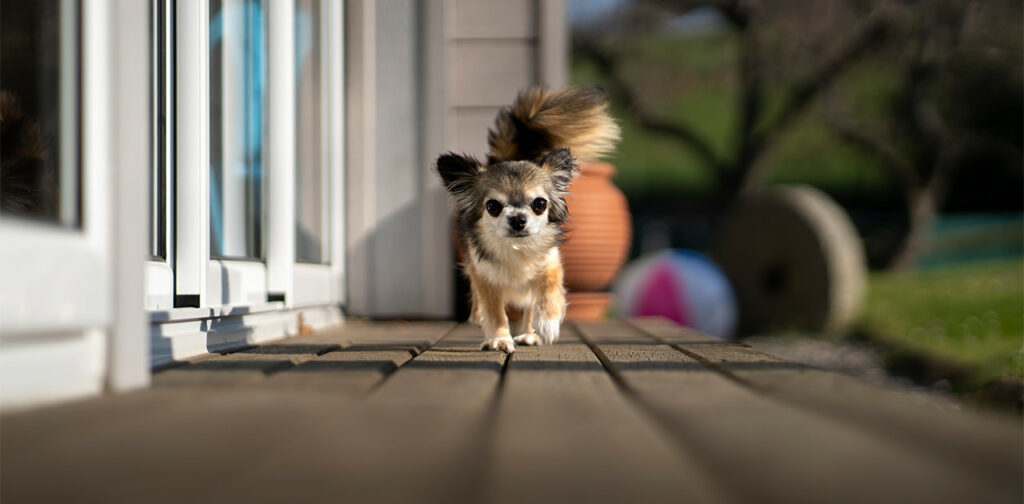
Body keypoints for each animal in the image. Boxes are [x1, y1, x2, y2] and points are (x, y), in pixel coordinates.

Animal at [436, 86, 618, 352]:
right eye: (492, 206)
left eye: (539, 205)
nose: (518, 219)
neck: (517, 249)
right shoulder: (486, 277)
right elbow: (495, 312)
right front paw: (499, 338)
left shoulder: (550, 265)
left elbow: (548, 291)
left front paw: (545, 325)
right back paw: (479, 315)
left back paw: (530, 332)